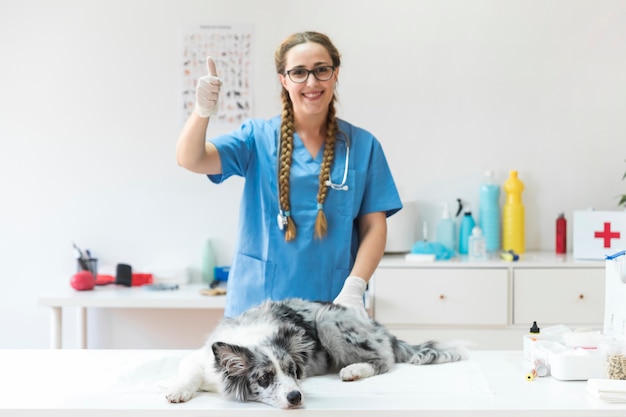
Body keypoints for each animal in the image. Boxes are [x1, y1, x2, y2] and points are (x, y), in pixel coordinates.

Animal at [163, 298, 466, 408]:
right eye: (263, 378)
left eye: (293, 371)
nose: (296, 397)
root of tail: (378, 327)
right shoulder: (199, 359)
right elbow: (188, 372)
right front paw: (176, 390)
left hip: (327, 319)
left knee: (384, 360)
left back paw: (353, 370)